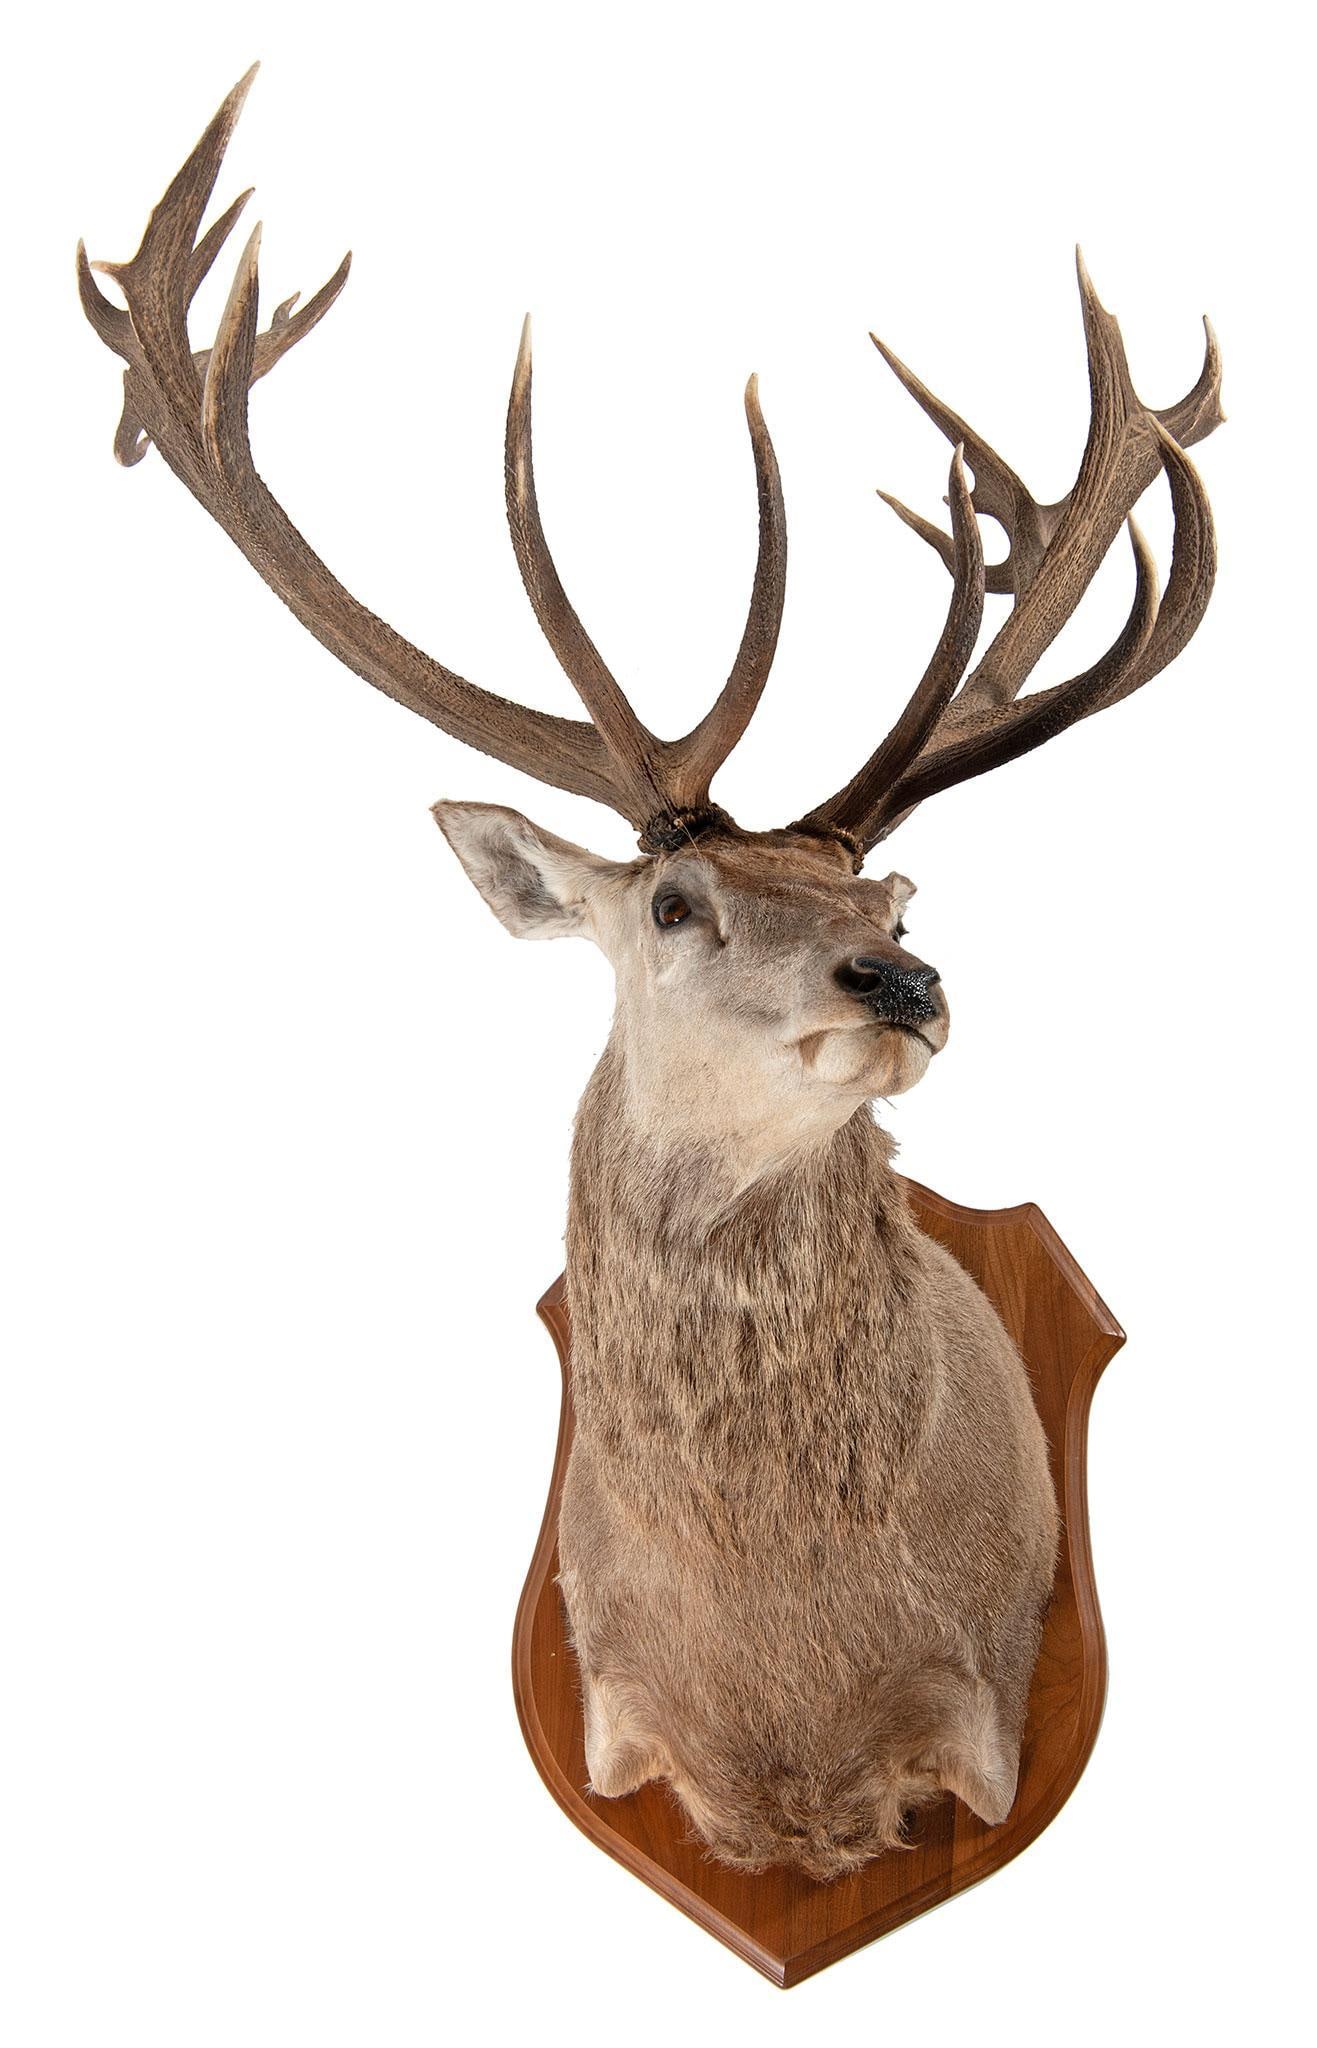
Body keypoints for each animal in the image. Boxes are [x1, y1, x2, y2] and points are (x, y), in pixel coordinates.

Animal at [78, 68, 1221, 1880]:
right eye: (679, 901)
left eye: (884, 892)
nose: (897, 983)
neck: (782, 1683)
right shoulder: (608, 1705)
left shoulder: (990, 1715)